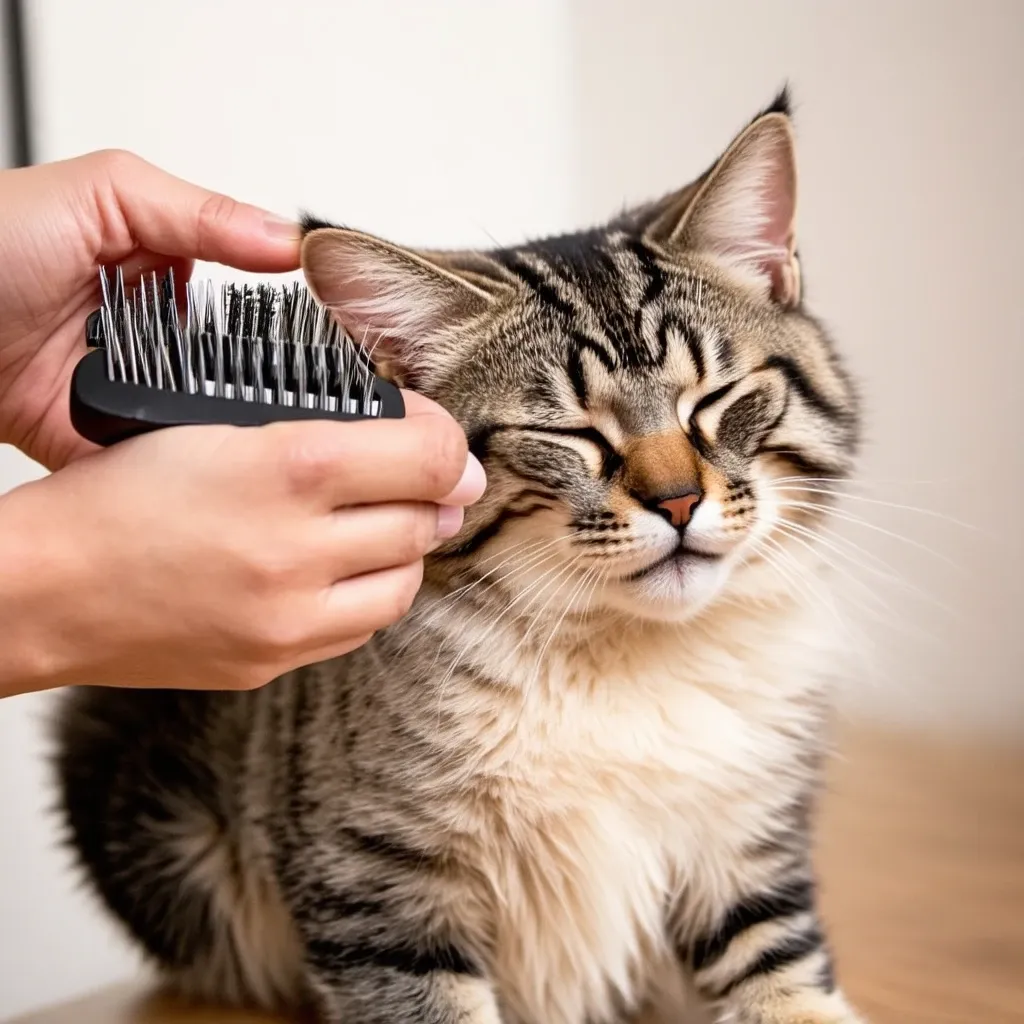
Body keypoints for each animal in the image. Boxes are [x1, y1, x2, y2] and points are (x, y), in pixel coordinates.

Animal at [54, 90, 864, 1024]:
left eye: (716, 399)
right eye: (571, 435)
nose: (676, 502)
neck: (623, 661)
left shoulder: (751, 855)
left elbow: (787, 983)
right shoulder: (376, 892)